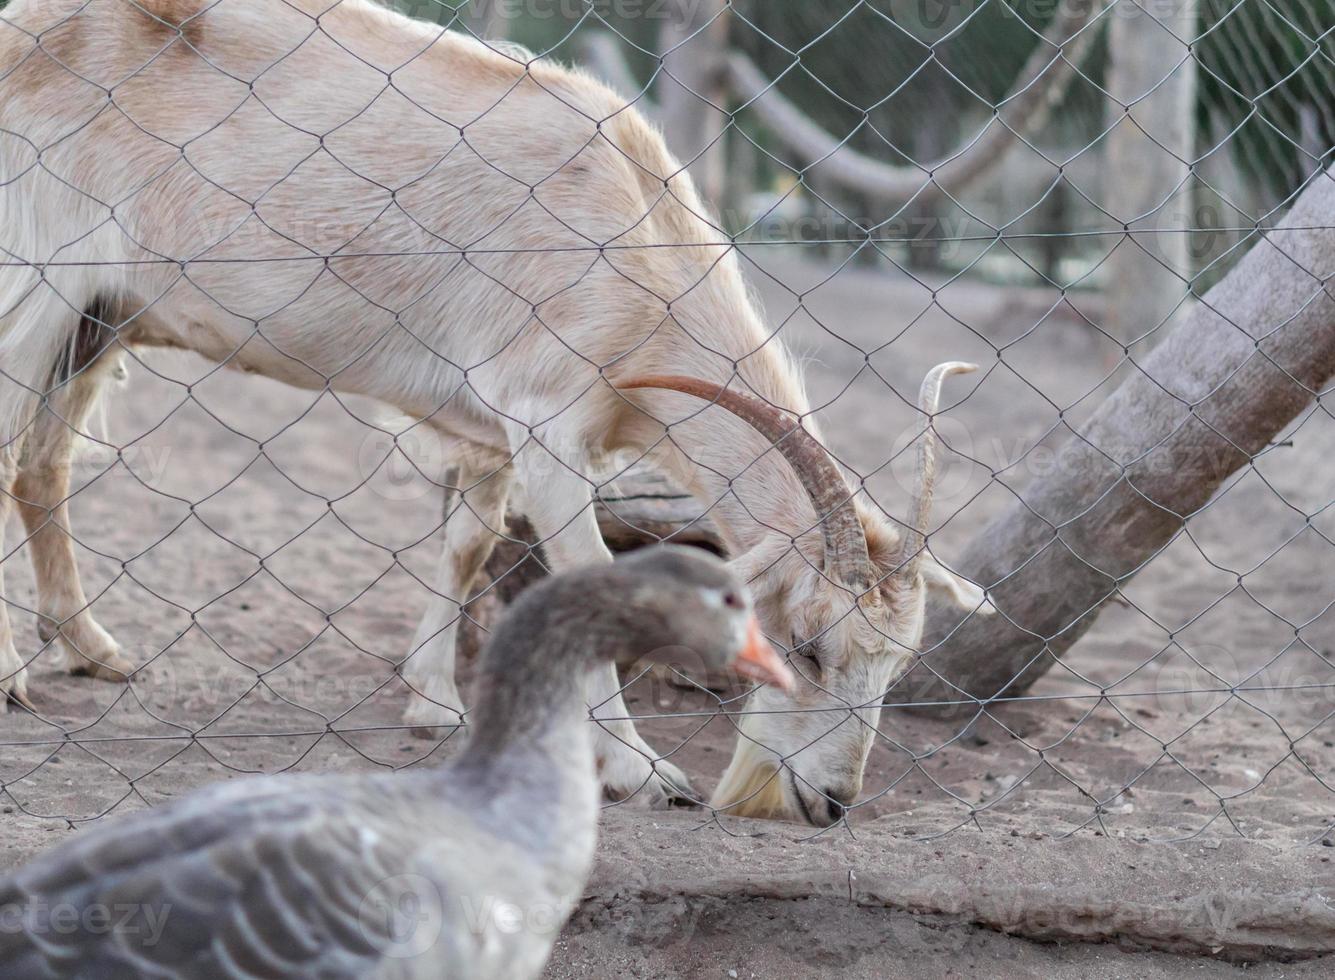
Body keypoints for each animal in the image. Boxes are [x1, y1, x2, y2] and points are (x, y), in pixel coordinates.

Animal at [0, 0, 982, 822]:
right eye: (809, 646)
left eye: (896, 661)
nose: (832, 802)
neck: (633, 232)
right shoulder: (548, 418)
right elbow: (585, 573)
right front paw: (640, 772)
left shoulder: (493, 425)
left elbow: (468, 544)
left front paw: (432, 701)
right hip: (34, 284)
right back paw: (14, 673)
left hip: (101, 317)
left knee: (41, 463)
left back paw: (91, 646)